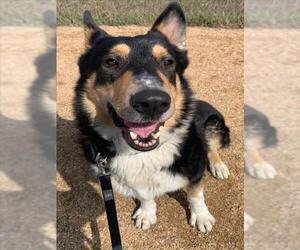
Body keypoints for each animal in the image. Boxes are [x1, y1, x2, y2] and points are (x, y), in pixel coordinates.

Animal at [74, 2, 230, 232]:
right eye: (111, 61)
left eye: (168, 61)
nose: (153, 102)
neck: (140, 153)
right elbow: (144, 195)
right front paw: (147, 213)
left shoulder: (194, 170)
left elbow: (195, 194)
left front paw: (201, 217)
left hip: (213, 123)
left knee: (211, 147)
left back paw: (219, 166)